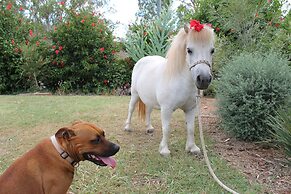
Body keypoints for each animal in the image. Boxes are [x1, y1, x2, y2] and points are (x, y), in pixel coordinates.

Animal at [124, 20, 216, 156]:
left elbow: (190, 128)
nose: (204, 79)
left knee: (148, 111)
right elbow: (166, 129)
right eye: (189, 50)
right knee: (131, 109)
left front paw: (192, 147)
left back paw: (149, 128)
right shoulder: (166, 109)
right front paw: (164, 150)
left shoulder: (191, 109)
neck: (181, 81)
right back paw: (128, 127)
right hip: (135, 95)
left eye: (212, 50)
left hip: (149, 99)